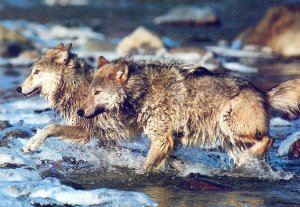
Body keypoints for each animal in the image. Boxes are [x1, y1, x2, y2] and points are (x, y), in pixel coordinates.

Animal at [79, 57, 300, 172]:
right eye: (89, 92)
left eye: (97, 93)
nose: (80, 111)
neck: (143, 91)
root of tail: (263, 93)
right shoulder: (170, 141)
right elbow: (164, 161)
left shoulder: (162, 139)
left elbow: (147, 165)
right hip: (230, 140)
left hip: (231, 126)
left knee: (269, 139)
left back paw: (248, 157)